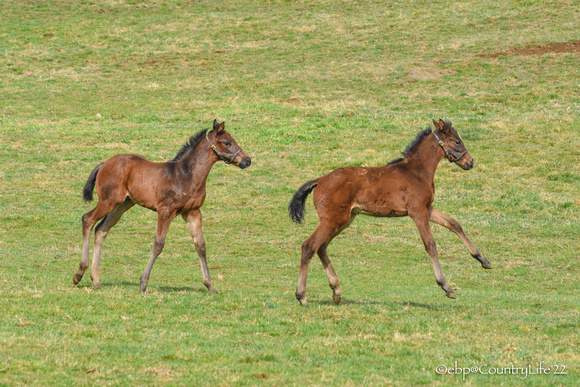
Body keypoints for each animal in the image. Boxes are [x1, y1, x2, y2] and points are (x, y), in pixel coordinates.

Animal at [73, 119, 250, 292]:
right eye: (227, 142)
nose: (247, 160)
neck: (186, 175)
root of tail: (104, 164)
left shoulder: (193, 212)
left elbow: (200, 245)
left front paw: (210, 285)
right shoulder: (165, 211)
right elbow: (158, 244)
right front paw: (143, 283)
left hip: (123, 204)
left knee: (101, 229)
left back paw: (96, 281)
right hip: (109, 201)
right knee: (88, 219)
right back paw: (79, 274)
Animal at [288, 119, 490, 308]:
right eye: (457, 141)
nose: (470, 162)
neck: (417, 171)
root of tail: (320, 180)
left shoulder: (428, 208)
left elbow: (454, 223)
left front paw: (483, 259)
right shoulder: (417, 211)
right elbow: (431, 245)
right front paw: (446, 287)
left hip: (344, 220)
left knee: (321, 247)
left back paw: (336, 291)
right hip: (332, 219)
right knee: (309, 246)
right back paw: (302, 296)